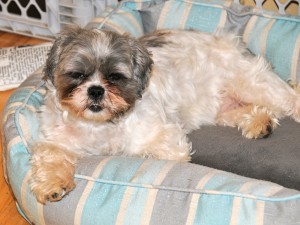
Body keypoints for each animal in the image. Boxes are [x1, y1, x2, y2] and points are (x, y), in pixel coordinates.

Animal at [30, 25, 300, 203]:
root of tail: (231, 42)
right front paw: (52, 183)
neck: (98, 126)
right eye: (78, 75)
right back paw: (259, 122)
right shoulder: (56, 139)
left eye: (115, 77)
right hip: (222, 109)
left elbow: (152, 153)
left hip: (253, 84)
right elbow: (50, 154)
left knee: (288, 98)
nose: (96, 90)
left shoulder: (166, 139)